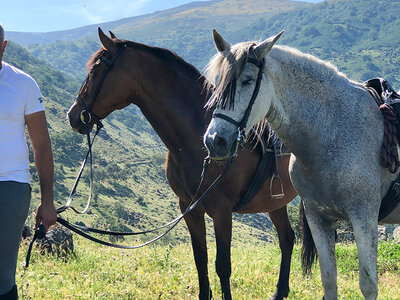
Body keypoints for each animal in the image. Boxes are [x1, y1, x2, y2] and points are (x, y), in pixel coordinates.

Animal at [66, 27, 296, 298]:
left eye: (94, 72)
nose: (73, 115)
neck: (198, 138)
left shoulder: (221, 212)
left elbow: (223, 266)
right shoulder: (189, 208)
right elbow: (200, 260)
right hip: (275, 203)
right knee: (287, 238)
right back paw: (279, 291)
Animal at [203, 29, 400, 298]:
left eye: (247, 80)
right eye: (220, 81)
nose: (215, 140)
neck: (335, 130)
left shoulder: (364, 217)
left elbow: (368, 284)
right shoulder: (319, 219)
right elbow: (329, 279)